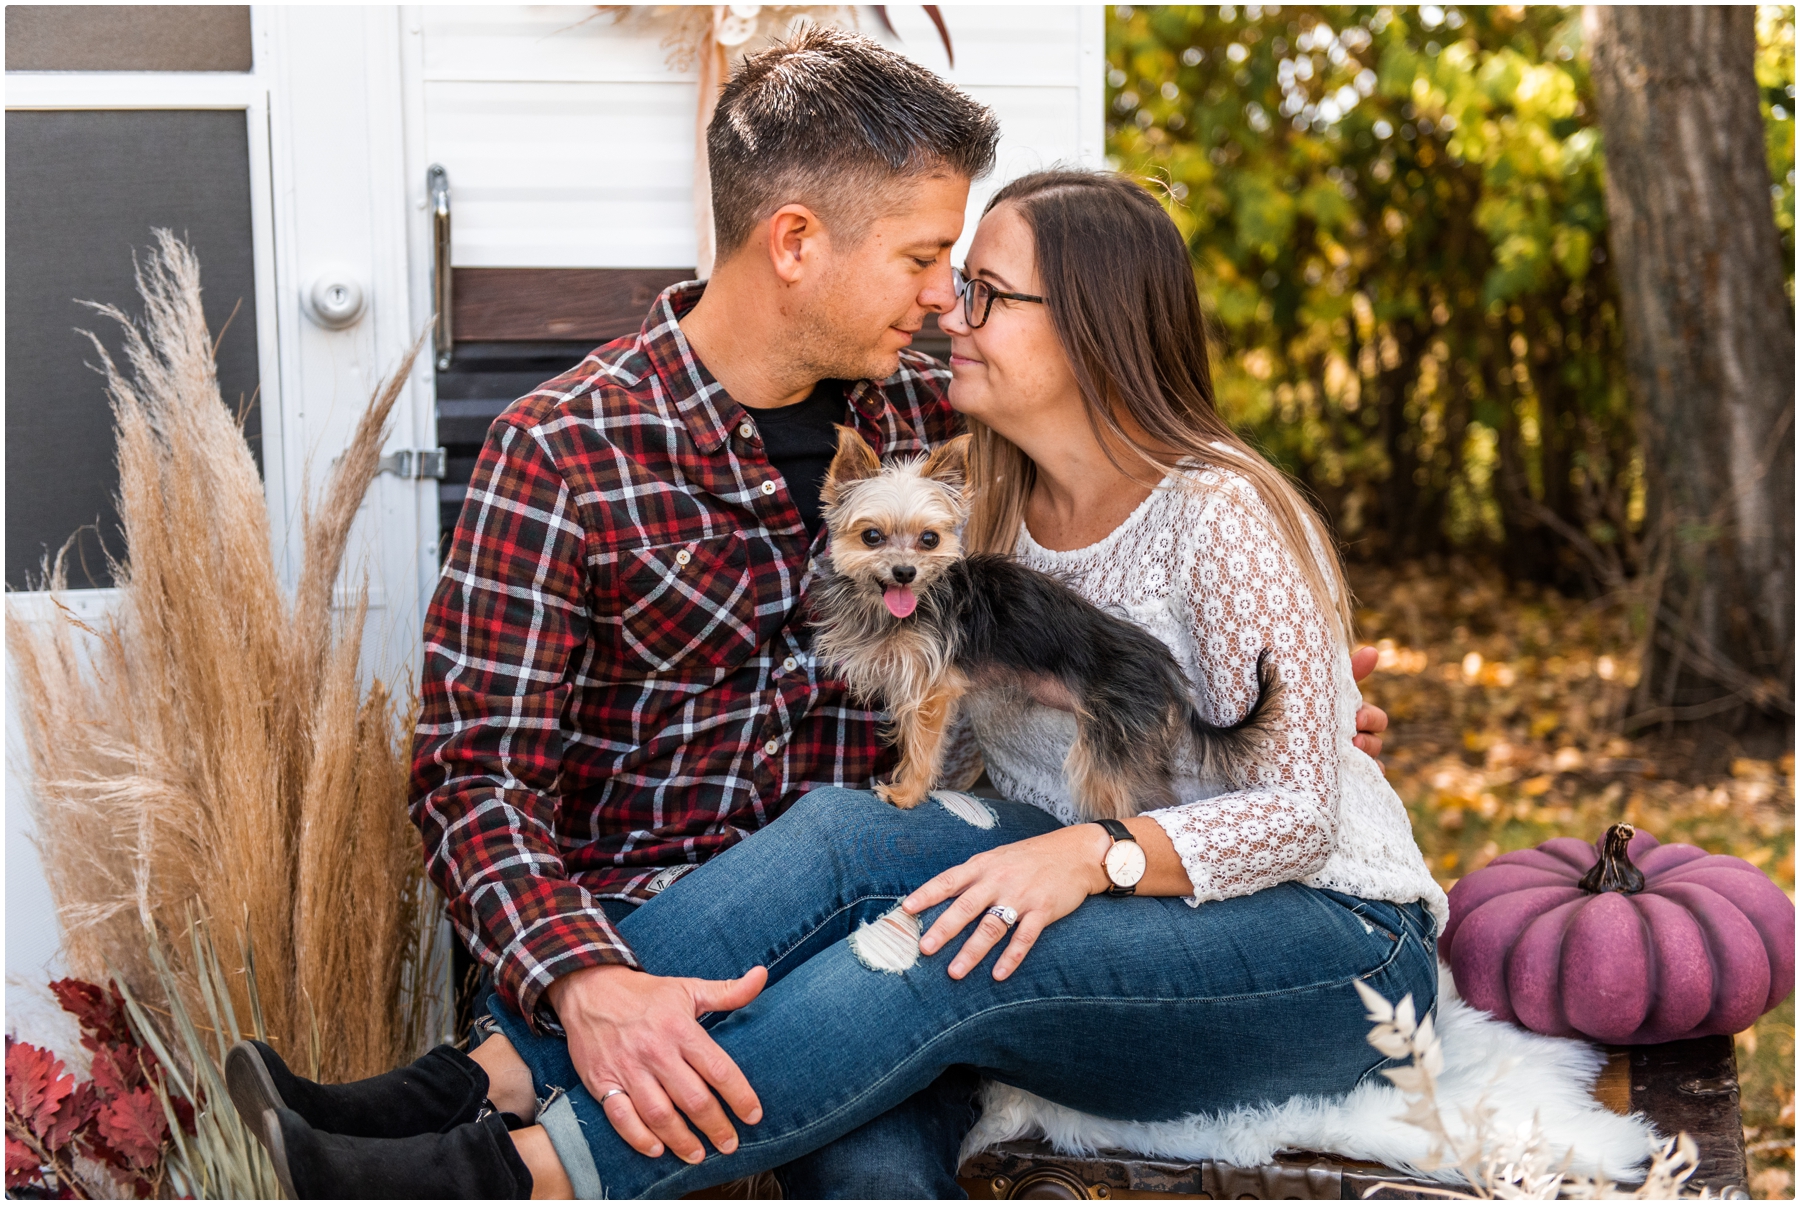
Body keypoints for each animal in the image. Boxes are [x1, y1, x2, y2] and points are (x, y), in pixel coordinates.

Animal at [810, 425, 1274, 817]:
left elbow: (922, 747)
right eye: (872, 536)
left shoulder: (931, 690)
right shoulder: (909, 682)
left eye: (930, 539)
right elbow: (910, 739)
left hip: (1101, 756)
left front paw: (907, 794)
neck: (897, 606)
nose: (904, 572)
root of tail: (1161, 665)